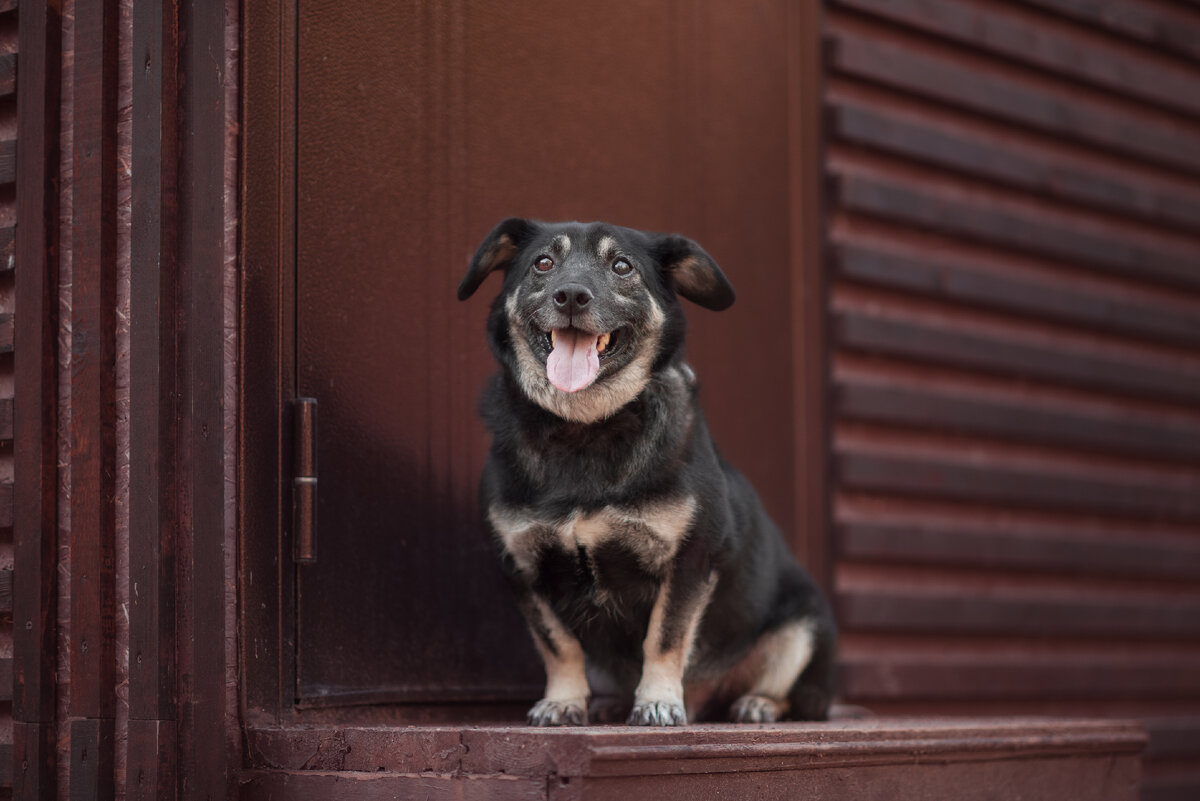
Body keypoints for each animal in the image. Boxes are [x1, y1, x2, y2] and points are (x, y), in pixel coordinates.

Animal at [458, 217, 835, 724]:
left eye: (622, 266)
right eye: (543, 263)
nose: (571, 295)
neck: (585, 427)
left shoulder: (690, 558)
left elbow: (664, 637)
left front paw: (658, 701)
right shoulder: (522, 569)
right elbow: (558, 645)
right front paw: (563, 701)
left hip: (804, 626)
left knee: (791, 693)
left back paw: (756, 704)